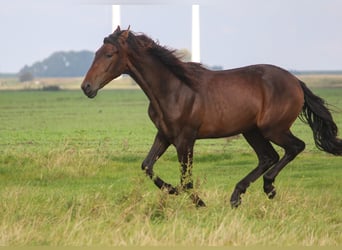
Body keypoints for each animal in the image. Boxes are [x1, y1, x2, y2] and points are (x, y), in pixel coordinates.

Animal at [82, 26, 342, 208]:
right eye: (96, 53)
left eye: (109, 54)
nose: (86, 87)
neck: (174, 88)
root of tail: (296, 82)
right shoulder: (164, 135)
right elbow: (147, 166)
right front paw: (172, 190)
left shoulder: (185, 139)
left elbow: (186, 180)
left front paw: (198, 202)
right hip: (252, 131)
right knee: (268, 156)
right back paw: (237, 196)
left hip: (273, 129)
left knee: (295, 147)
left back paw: (268, 187)